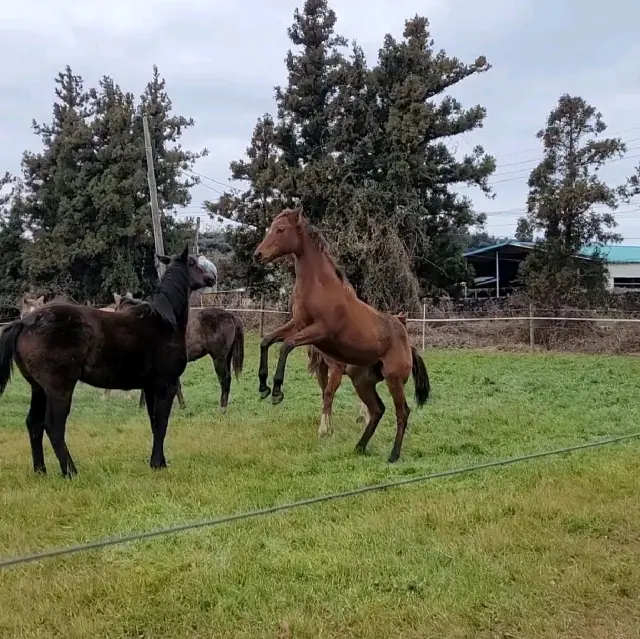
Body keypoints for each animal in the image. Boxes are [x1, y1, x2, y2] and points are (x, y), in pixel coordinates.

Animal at [0, 248, 216, 478]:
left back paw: (40, 471)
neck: (164, 321)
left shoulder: (150, 387)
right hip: (59, 389)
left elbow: (154, 422)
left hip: (38, 389)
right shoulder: (166, 384)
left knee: (34, 424)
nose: (211, 278)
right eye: (193, 263)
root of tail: (24, 322)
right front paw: (158, 463)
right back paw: (71, 472)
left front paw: (158, 462)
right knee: (54, 426)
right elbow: (162, 423)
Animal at [115, 294, 245, 412]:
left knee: (224, 379)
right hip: (226, 358)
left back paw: (222, 408)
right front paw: (183, 406)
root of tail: (231, 316)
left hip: (219, 359)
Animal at [254, 210, 430, 464]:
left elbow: (285, 346)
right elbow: (266, 341)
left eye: (280, 229)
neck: (319, 286)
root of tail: (408, 344)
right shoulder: (296, 325)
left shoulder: (320, 331)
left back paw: (393, 455)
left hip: (394, 379)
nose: (258, 255)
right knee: (377, 410)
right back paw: (359, 447)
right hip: (362, 381)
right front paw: (263, 387)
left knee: (402, 412)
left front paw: (276, 391)